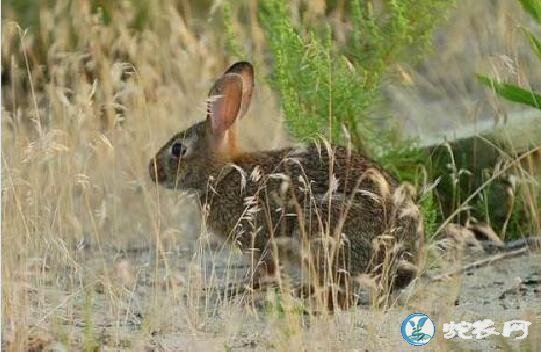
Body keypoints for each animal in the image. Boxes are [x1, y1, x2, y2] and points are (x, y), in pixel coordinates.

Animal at [149, 61, 422, 308]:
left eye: (178, 150)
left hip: (322, 232)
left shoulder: (260, 238)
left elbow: (264, 271)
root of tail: (403, 256)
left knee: (342, 296)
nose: (151, 171)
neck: (224, 172)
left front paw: (237, 291)